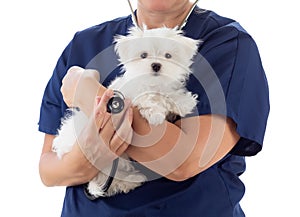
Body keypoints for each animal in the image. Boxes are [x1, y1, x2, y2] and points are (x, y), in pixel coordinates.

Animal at [52, 26, 199, 199]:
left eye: (168, 56)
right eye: (143, 55)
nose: (156, 65)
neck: (153, 83)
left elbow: (169, 94)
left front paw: (184, 102)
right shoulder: (132, 95)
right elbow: (147, 99)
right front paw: (155, 114)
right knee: (107, 179)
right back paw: (131, 181)